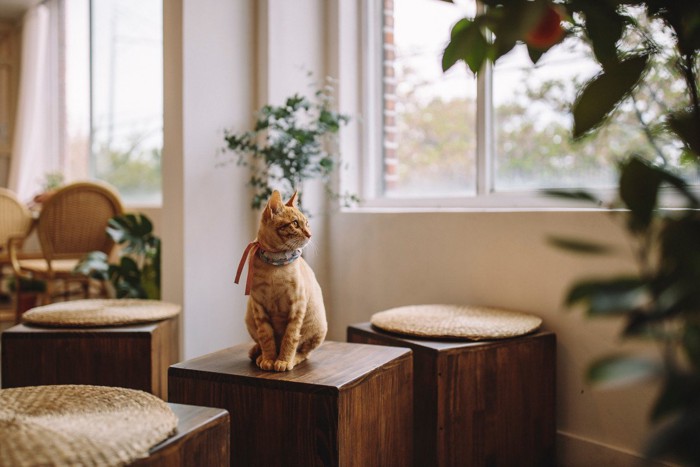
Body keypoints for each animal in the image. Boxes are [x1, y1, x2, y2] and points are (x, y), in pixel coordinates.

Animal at [238, 190, 328, 372]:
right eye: (295, 223)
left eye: (307, 223)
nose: (310, 234)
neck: (275, 264)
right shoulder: (259, 306)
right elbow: (266, 337)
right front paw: (269, 359)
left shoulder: (297, 305)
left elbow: (290, 337)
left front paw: (283, 361)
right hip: (249, 318)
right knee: (259, 342)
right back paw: (258, 354)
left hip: (319, 327)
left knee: (305, 351)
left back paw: (293, 359)